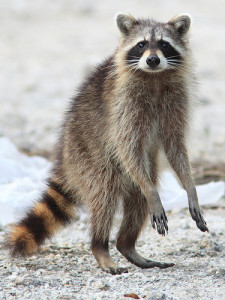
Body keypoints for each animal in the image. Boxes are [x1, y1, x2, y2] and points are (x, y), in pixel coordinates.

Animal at [7, 13, 208, 274]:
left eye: (164, 44)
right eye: (141, 44)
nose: (153, 60)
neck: (154, 76)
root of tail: (64, 155)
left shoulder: (176, 102)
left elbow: (176, 148)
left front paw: (190, 187)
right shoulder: (123, 107)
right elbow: (127, 147)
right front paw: (157, 196)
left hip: (135, 170)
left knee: (139, 197)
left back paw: (126, 244)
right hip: (89, 157)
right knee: (106, 195)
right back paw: (100, 246)